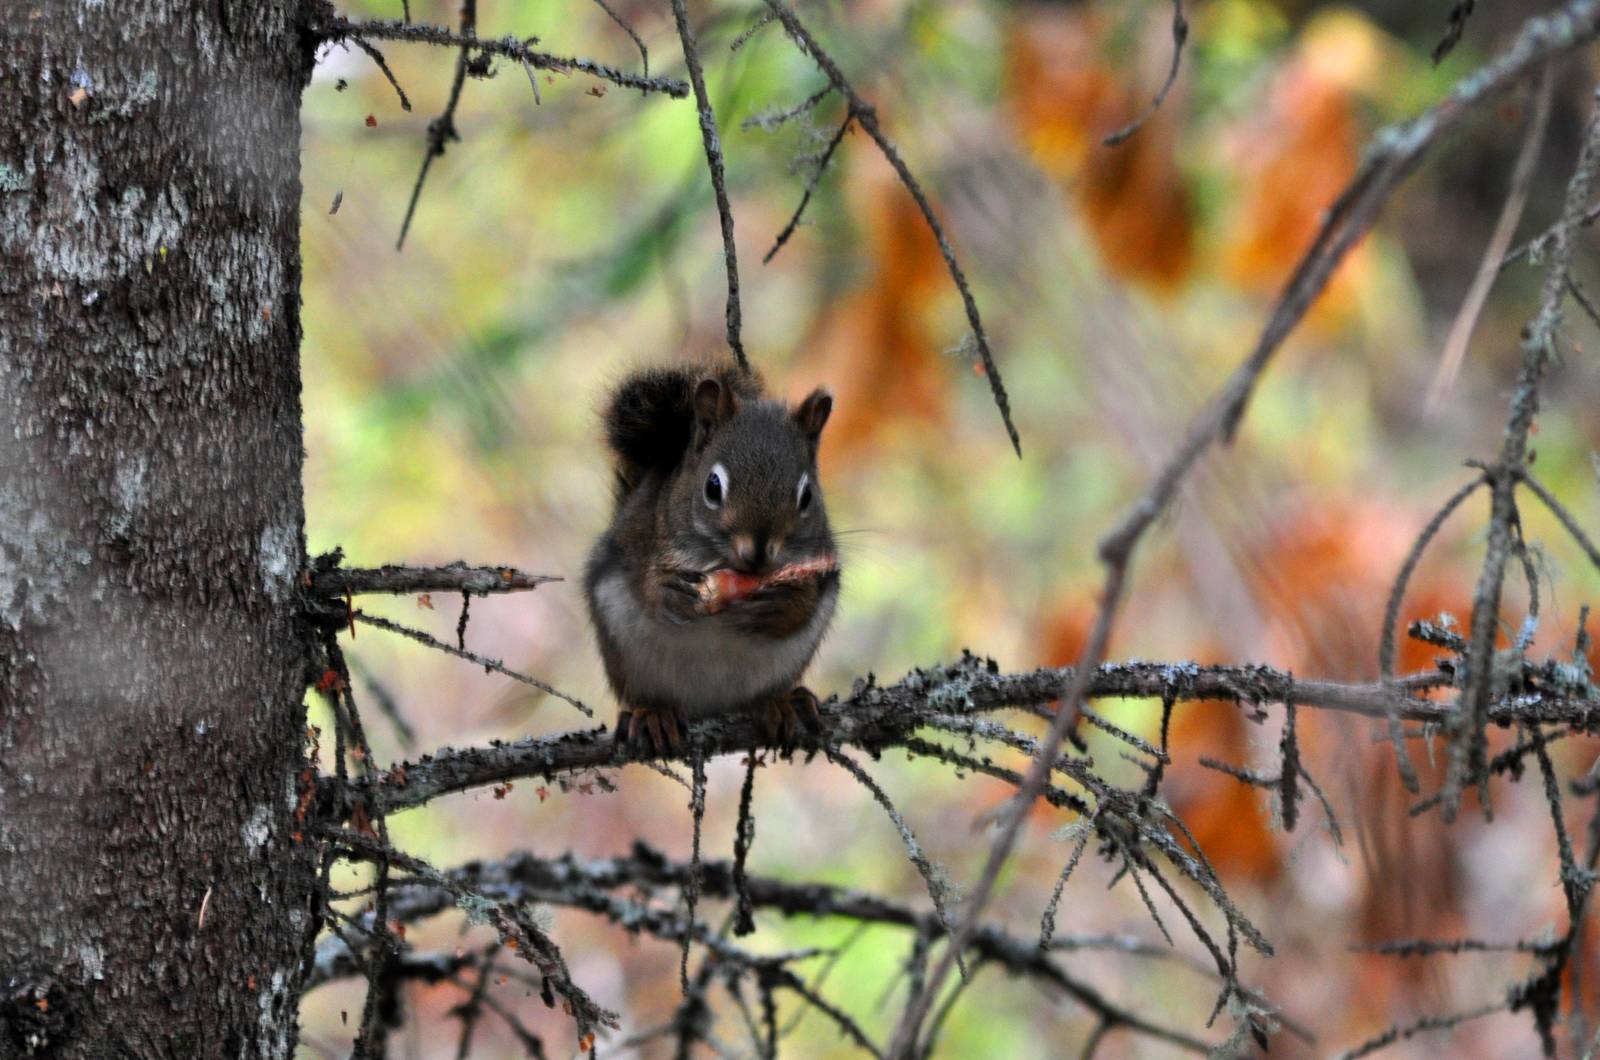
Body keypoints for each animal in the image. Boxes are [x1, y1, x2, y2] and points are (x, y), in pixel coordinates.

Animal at [583, 362, 840, 751]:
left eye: (808, 496)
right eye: (712, 486)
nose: (757, 553)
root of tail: (710, 708)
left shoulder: (821, 558)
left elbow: (806, 603)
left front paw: (782, 604)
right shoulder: (636, 537)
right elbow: (643, 581)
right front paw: (668, 593)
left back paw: (781, 703)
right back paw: (653, 715)